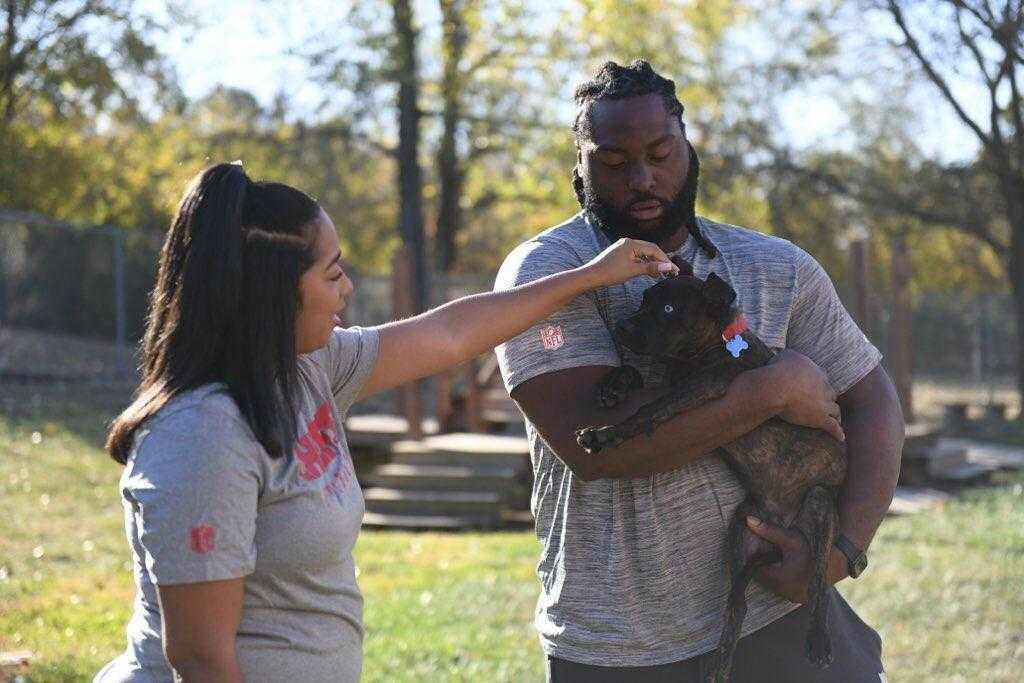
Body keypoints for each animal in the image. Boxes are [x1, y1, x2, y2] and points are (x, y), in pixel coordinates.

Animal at [577, 264, 847, 683]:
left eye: (669, 308)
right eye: (644, 300)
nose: (622, 326)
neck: (710, 346)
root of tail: (783, 524)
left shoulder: (700, 388)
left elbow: (649, 410)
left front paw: (606, 433)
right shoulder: (675, 380)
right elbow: (637, 375)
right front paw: (613, 386)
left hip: (819, 506)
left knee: (817, 581)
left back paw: (818, 641)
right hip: (740, 530)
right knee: (737, 605)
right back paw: (718, 665)